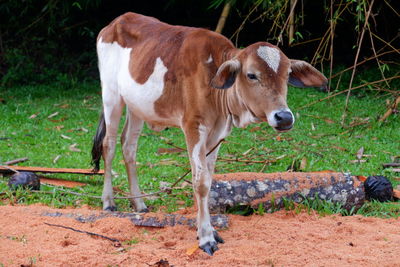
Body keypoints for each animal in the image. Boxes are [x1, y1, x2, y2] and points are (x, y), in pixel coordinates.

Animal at [92, 12, 326, 255]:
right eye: (251, 75)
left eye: (287, 74)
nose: (284, 117)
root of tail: (115, 22)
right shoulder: (193, 126)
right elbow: (201, 181)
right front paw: (205, 237)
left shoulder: (218, 133)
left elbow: (208, 179)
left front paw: (209, 229)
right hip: (111, 96)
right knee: (109, 146)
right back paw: (108, 201)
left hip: (137, 107)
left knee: (129, 147)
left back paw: (138, 203)